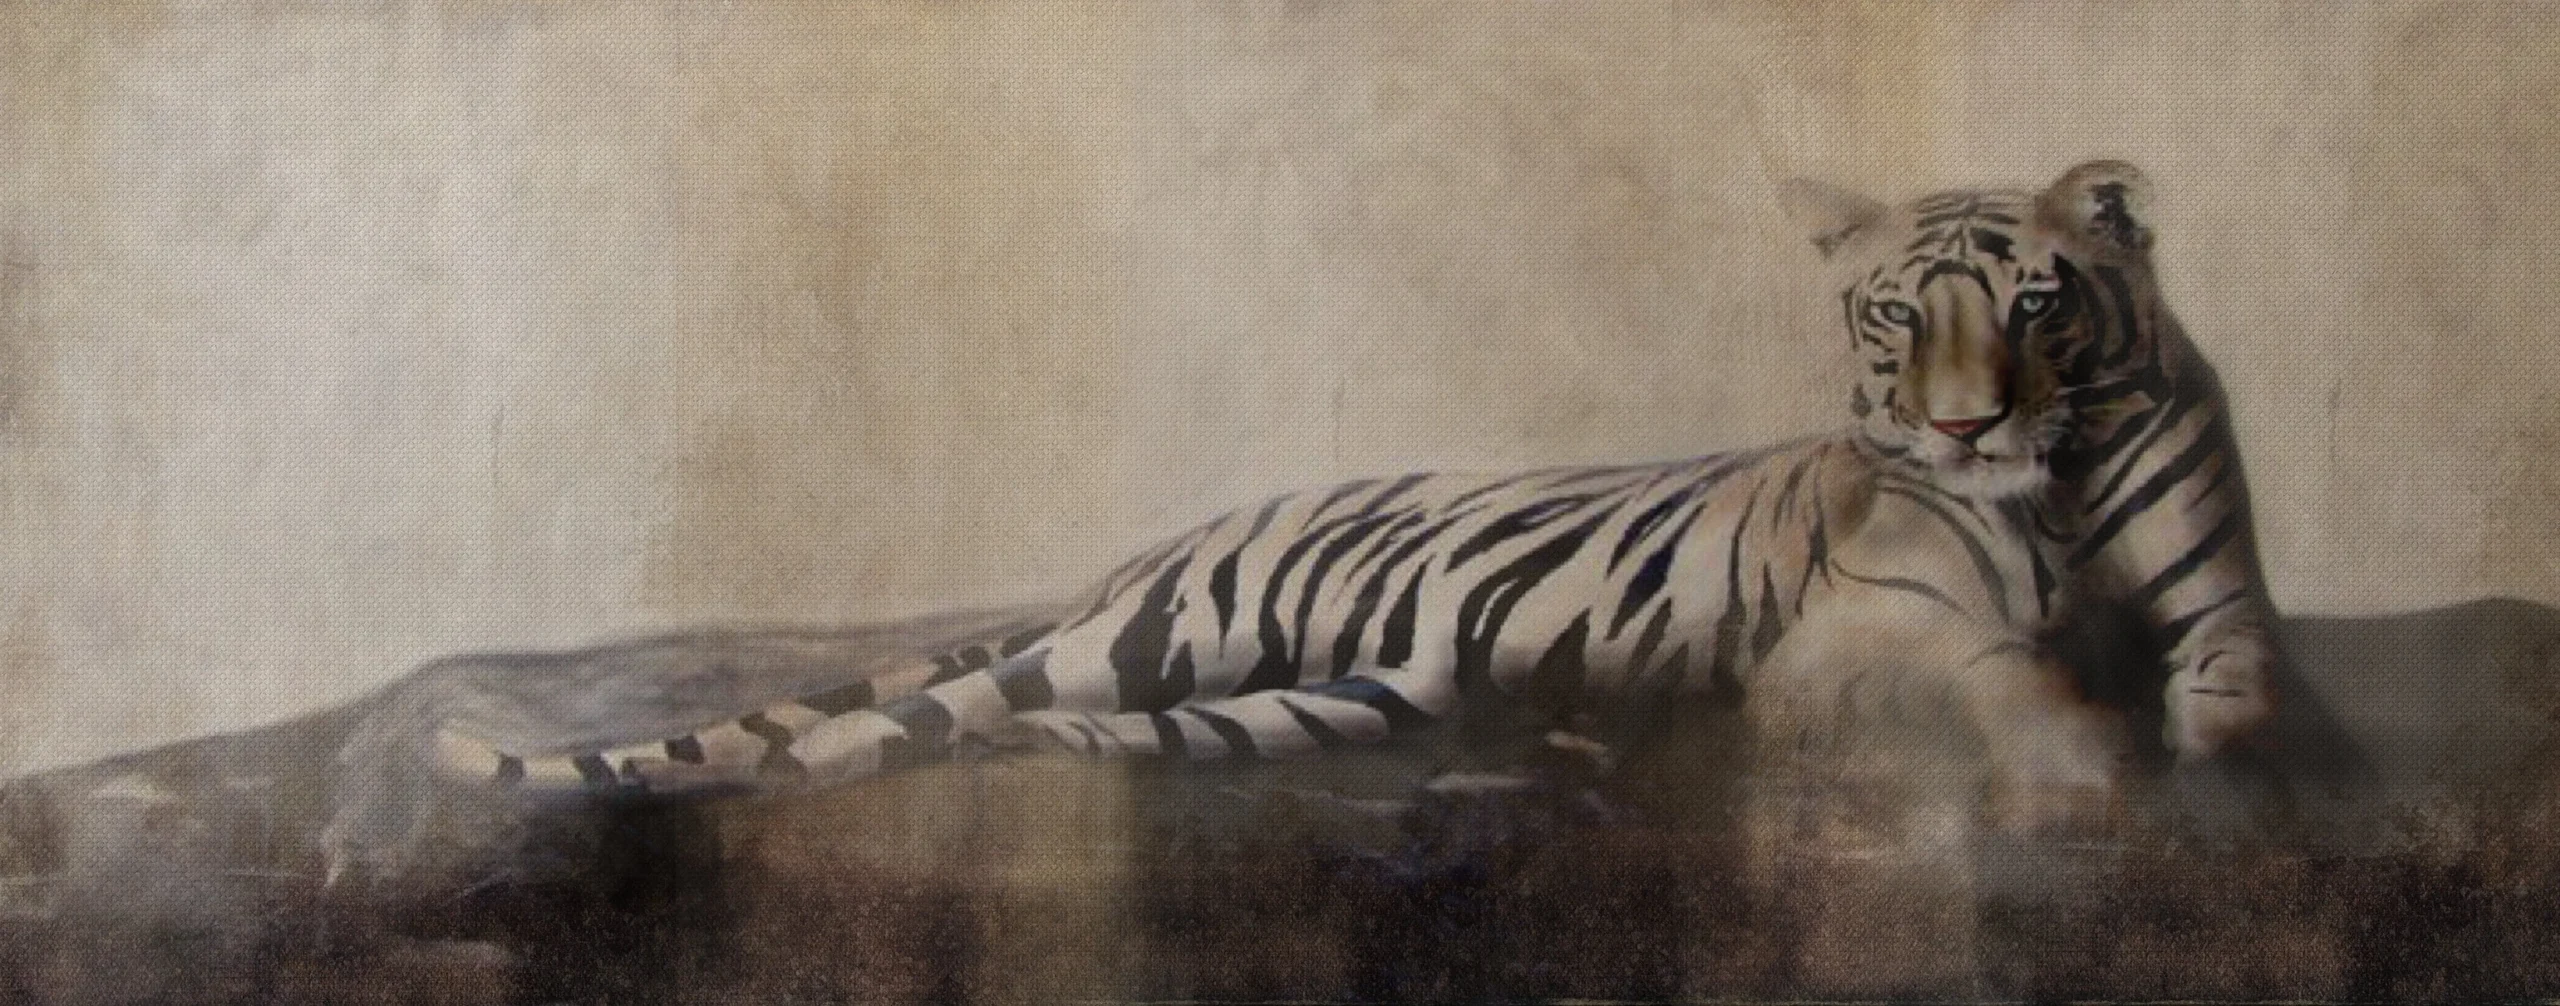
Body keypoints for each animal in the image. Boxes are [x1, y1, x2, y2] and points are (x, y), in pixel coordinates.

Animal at [350, 160, 2278, 876]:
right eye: (1896, 318)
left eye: (2033, 302)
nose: (1962, 422)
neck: (2061, 480)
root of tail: (1134, 559)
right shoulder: (1873, 633)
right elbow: (2008, 684)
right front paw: (2085, 781)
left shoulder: (2215, 597)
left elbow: (2233, 685)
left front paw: (2204, 767)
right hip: (1162, 636)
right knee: (894, 721)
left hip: (1337, 691)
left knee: (1044, 735)